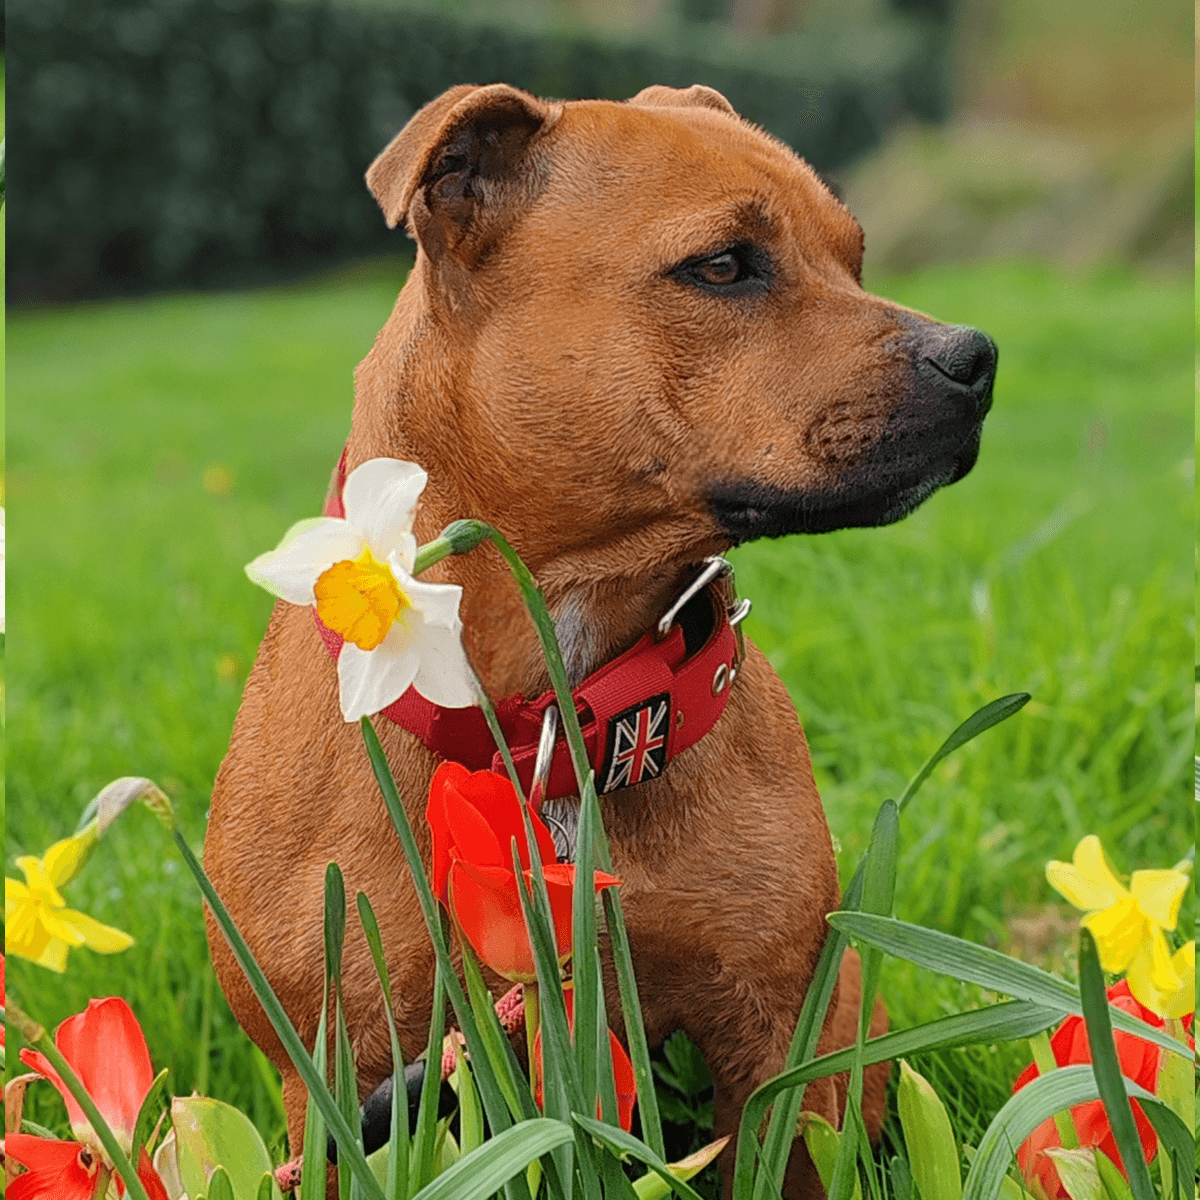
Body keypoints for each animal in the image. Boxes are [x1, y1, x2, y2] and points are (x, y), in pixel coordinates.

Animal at [204, 82, 993, 1190]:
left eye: (855, 254)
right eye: (722, 265)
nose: (976, 357)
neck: (555, 721)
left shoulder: (776, 1036)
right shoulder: (341, 1075)